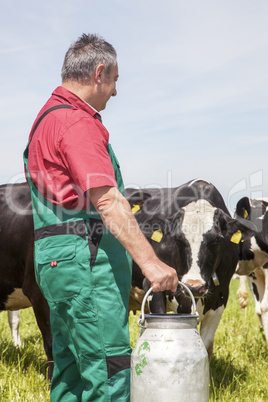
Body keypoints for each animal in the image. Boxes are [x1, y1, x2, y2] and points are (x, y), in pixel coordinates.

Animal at [126, 179, 254, 358]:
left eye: (216, 239)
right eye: (178, 238)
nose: (194, 286)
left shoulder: (221, 296)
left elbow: (205, 345)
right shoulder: (153, 286)